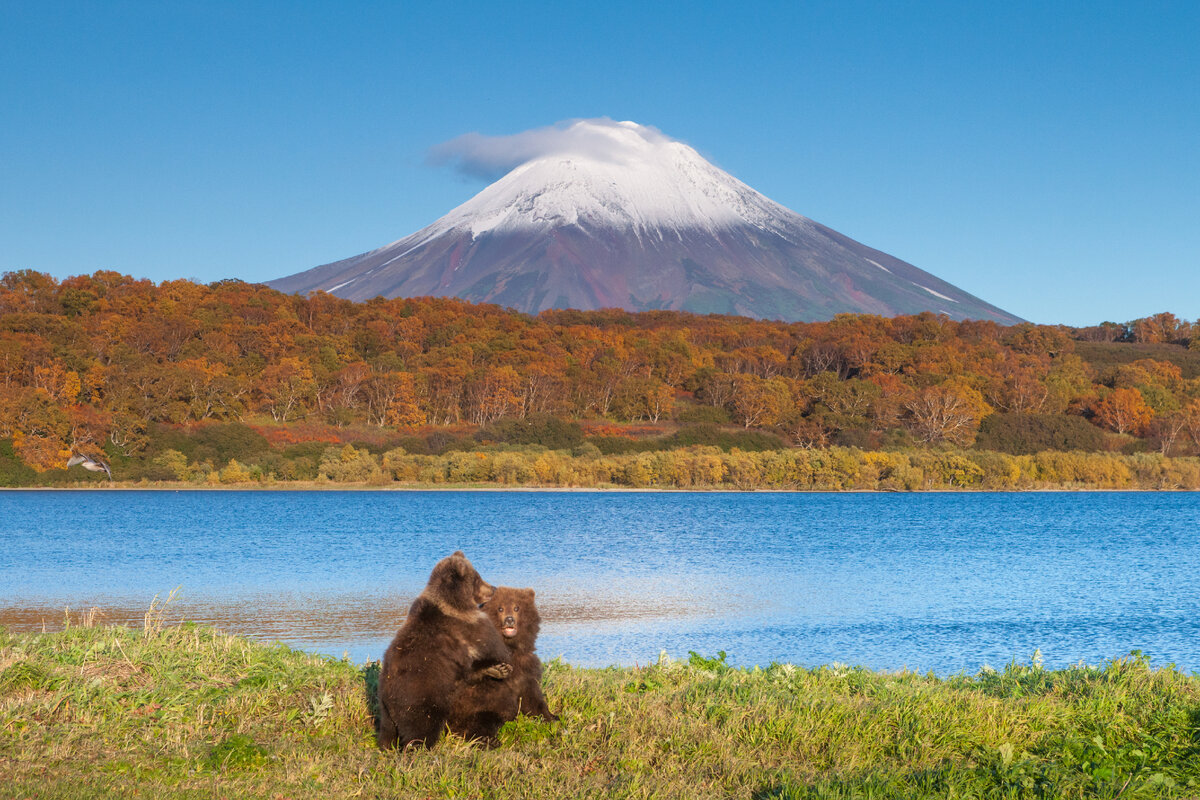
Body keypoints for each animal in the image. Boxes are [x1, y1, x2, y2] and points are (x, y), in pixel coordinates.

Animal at [374, 551, 506, 753]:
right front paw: (498, 668)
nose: (493, 588)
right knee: (422, 728)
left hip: (386, 714)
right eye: (476, 578)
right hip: (422, 699)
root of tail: (388, 699)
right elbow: (486, 653)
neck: (454, 603)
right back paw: (421, 748)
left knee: (387, 734)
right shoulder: (468, 631)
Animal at [446, 585, 556, 748]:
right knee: (480, 720)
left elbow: (533, 698)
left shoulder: (525, 667)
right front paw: (496, 669)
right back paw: (487, 739)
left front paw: (552, 717)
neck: (510, 647)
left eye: (517, 607)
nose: (509, 619)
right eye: (500, 608)